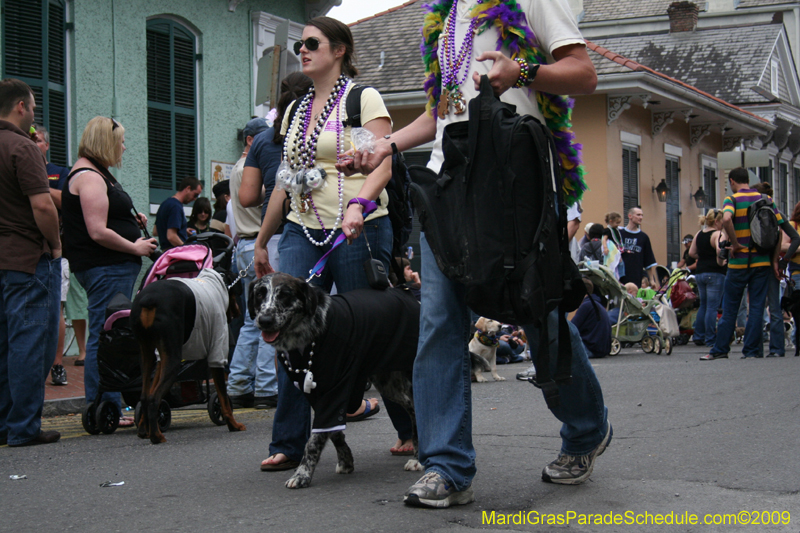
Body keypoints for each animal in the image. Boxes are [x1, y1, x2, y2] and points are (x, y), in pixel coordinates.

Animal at [131, 268, 245, 442]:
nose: (238, 312)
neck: (217, 282)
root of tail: (148, 299)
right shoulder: (217, 353)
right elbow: (223, 398)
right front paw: (233, 425)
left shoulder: (160, 359)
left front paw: (144, 429)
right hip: (173, 358)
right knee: (153, 398)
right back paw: (157, 436)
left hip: (147, 353)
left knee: (145, 395)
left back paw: (145, 431)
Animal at [250, 272, 424, 488]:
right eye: (259, 294)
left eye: (284, 295)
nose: (265, 320)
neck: (311, 331)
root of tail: (406, 291)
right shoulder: (318, 395)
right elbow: (332, 431)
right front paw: (346, 460)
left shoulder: (335, 388)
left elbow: (313, 440)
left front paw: (302, 473)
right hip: (387, 381)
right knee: (411, 407)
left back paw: (418, 458)